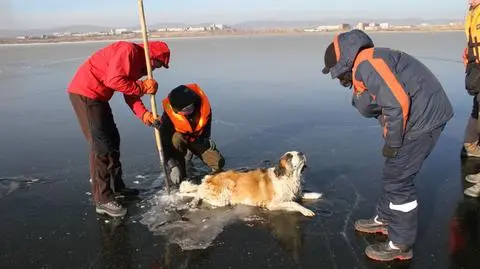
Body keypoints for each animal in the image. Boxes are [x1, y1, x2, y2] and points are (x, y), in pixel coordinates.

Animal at [177, 151, 322, 216]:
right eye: (290, 157)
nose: (301, 153)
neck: (288, 177)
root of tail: (209, 178)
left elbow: (300, 195)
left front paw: (314, 195)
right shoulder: (272, 205)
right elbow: (294, 203)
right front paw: (306, 210)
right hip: (222, 198)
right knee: (199, 194)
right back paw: (192, 200)